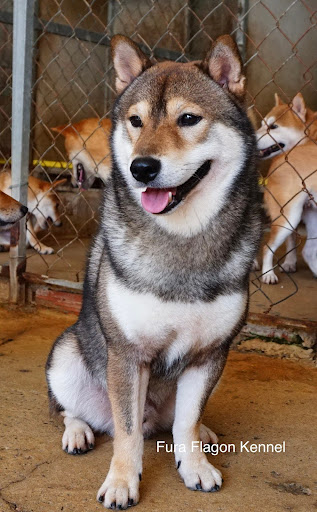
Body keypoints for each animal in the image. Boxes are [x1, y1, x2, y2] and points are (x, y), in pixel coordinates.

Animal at [44, 34, 262, 510]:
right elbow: (126, 433)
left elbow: (186, 422)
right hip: (67, 354)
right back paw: (78, 431)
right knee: (72, 409)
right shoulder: (127, 354)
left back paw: (205, 433)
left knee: (174, 421)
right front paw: (122, 482)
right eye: (136, 121)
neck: (181, 238)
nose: (141, 168)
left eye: (188, 119)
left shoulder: (209, 354)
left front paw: (194, 465)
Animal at [256, 93, 314, 284]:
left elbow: (292, 239)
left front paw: (289, 261)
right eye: (262, 124)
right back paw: (267, 272)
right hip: (290, 213)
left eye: (273, 127)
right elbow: (291, 240)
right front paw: (289, 262)